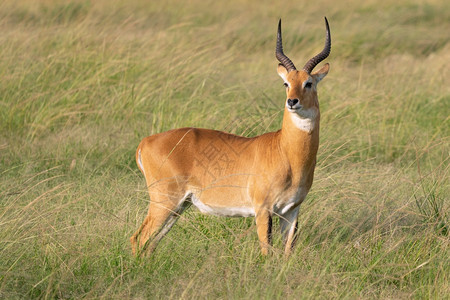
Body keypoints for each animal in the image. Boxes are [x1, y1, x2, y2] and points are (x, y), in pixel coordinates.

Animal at [130, 17, 330, 255]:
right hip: (164, 202)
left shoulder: (291, 211)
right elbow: (267, 252)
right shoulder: (263, 209)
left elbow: (287, 252)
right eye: (286, 83)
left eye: (309, 83)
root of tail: (145, 142)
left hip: (178, 207)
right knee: (138, 239)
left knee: (150, 244)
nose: (292, 101)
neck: (286, 152)